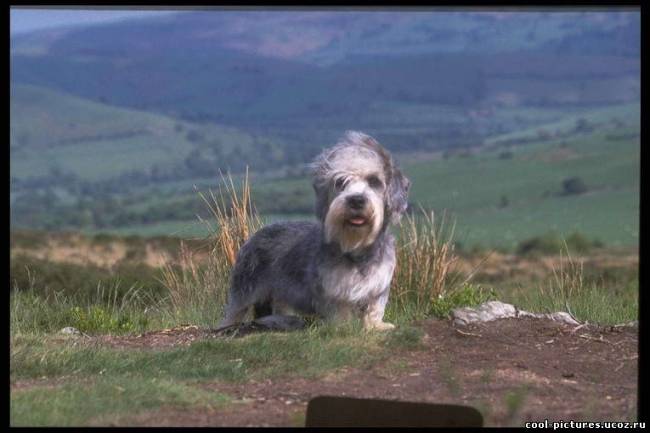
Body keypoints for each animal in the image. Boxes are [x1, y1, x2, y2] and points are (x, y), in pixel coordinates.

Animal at [220, 130, 408, 330]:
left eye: (374, 181)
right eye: (340, 182)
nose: (356, 200)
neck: (356, 248)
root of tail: (255, 236)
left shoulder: (378, 285)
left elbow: (374, 308)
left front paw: (376, 326)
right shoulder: (332, 290)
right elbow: (339, 311)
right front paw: (342, 327)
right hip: (244, 287)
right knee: (233, 311)